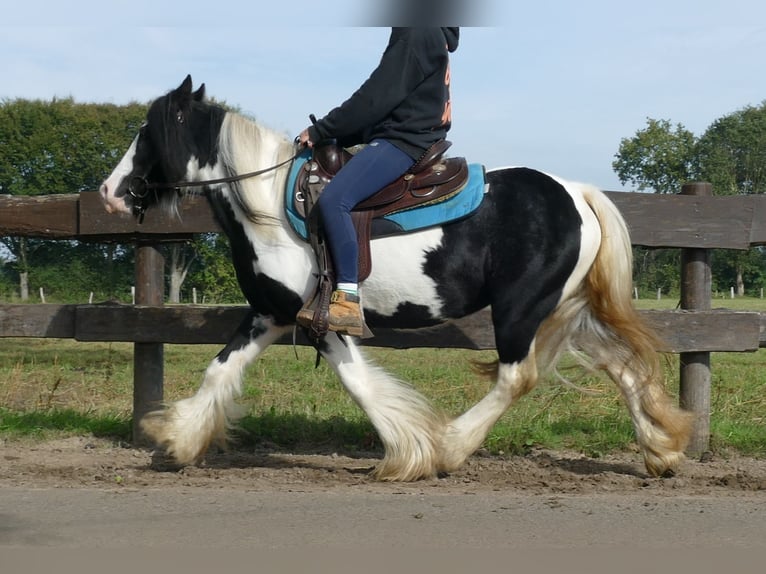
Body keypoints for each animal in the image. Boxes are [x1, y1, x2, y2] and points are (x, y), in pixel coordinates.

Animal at [99, 77, 692, 482]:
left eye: (147, 133)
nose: (109, 192)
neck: (267, 205)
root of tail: (577, 193)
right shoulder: (269, 314)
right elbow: (220, 370)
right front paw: (177, 439)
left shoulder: (320, 320)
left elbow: (359, 384)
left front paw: (410, 453)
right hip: (569, 310)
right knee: (623, 366)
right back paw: (661, 450)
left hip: (521, 310)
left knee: (516, 377)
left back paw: (452, 446)